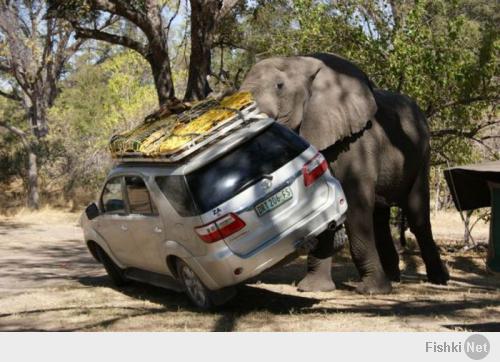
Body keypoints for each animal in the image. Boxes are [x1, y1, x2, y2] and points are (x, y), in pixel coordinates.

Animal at [238, 52, 450, 292]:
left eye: (279, 86)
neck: (303, 62)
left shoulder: (357, 142)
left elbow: (356, 203)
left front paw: (371, 291)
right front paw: (313, 289)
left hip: (422, 154)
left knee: (416, 214)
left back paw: (438, 280)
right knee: (380, 217)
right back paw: (393, 278)